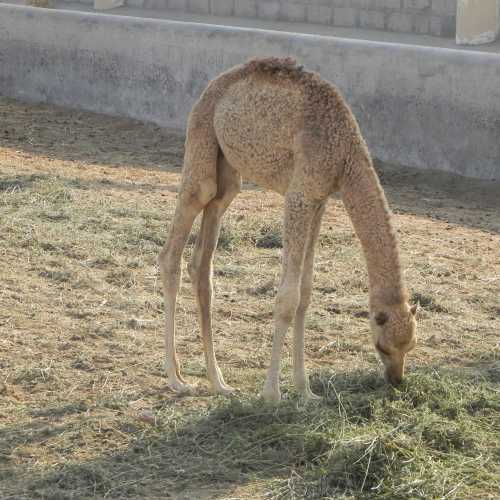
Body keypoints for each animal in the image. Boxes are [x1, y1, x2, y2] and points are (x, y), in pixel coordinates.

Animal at [158, 57, 416, 402]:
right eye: (382, 346)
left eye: (410, 346)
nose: (396, 380)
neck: (344, 155)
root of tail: (212, 85)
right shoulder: (299, 195)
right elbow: (287, 298)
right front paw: (272, 393)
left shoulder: (319, 201)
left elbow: (305, 294)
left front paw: (305, 390)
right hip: (202, 142)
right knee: (173, 249)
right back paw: (175, 378)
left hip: (228, 175)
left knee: (202, 263)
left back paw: (218, 382)